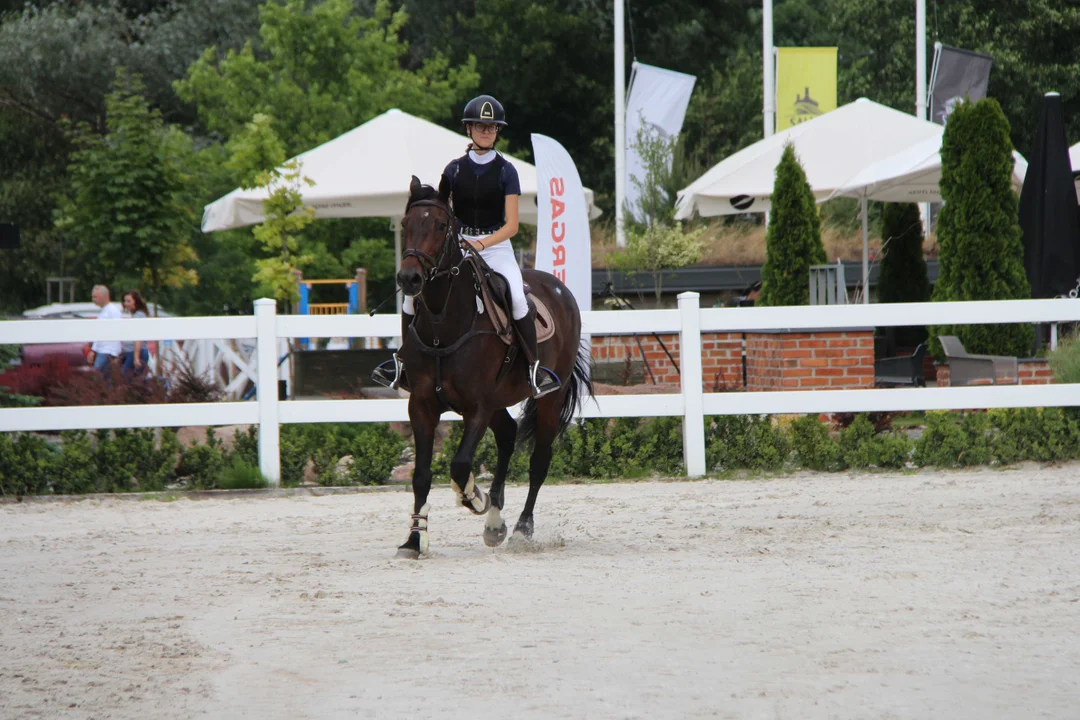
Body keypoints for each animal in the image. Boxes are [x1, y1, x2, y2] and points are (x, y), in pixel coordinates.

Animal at [386, 174, 596, 557]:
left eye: (441, 226)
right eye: (406, 224)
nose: (409, 279)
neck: (442, 323)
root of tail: (559, 289)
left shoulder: (477, 407)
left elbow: (460, 465)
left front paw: (473, 497)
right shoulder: (421, 405)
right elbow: (421, 475)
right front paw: (414, 538)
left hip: (547, 400)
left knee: (539, 460)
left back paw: (520, 528)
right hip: (499, 402)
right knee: (508, 435)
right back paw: (495, 523)